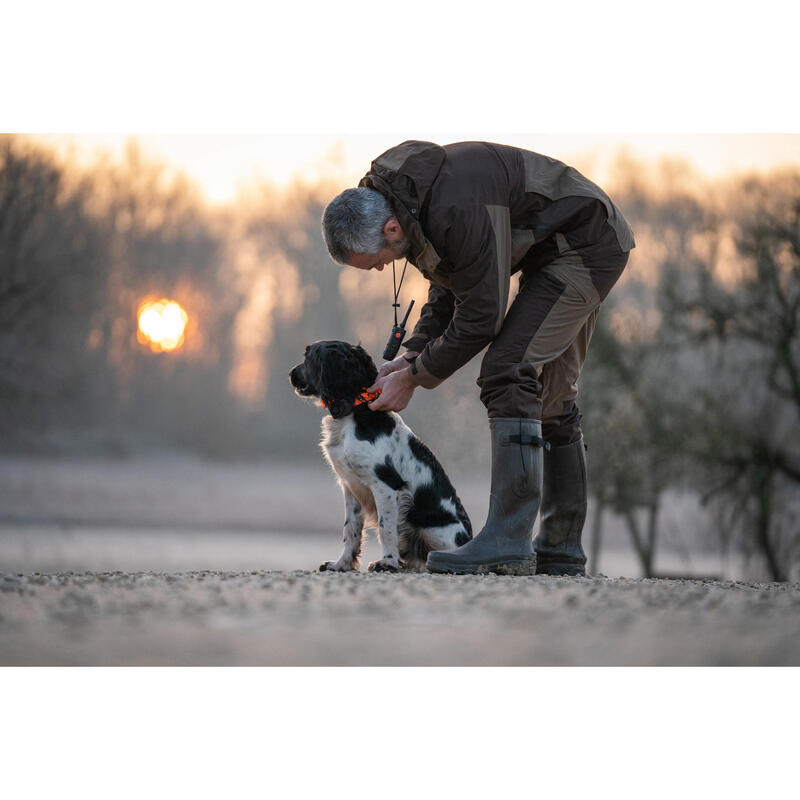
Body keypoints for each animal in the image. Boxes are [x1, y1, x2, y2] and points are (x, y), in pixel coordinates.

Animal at [290, 340, 472, 572]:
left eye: (308, 357)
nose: (291, 374)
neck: (354, 414)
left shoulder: (385, 486)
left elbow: (387, 529)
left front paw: (387, 562)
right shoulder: (350, 486)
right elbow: (350, 529)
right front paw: (341, 564)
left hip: (433, 530)